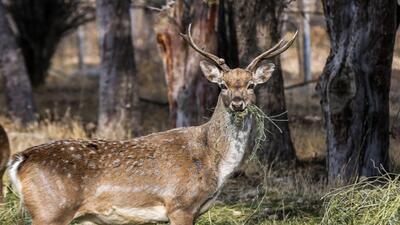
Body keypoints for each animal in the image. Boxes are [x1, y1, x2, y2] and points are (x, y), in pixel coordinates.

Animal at [7, 24, 296, 225]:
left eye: (251, 85)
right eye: (223, 85)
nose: (237, 103)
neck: (215, 162)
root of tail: (19, 160)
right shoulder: (180, 204)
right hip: (51, 210)